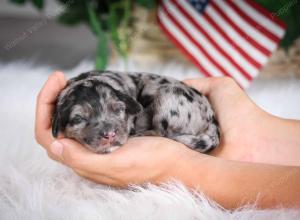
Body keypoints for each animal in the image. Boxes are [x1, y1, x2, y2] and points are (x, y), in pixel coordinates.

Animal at [52, 70, 220, 153]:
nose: (110, 135)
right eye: (78, 119)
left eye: (119, 109)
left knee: (161, 132)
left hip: (168, 94)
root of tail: (212, 118)